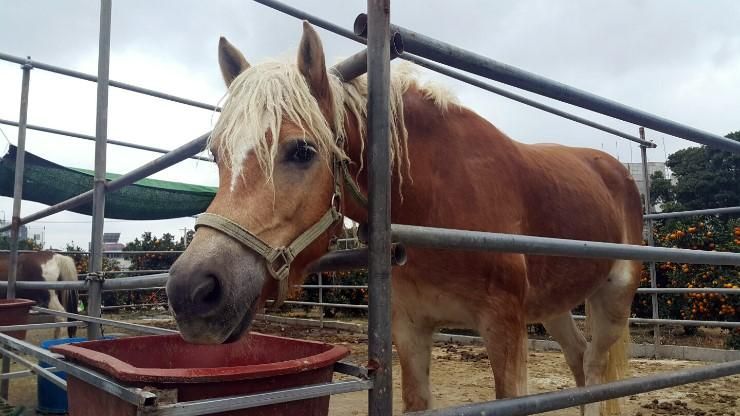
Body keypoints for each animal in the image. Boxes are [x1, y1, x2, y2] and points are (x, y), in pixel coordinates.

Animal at [166, 23, 640, 416]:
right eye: (217, 156)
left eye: (302, 151)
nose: (191, 291)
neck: (438, 199)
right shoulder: (410, 329)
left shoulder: (504, 327)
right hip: (553, 307)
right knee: (579, 362)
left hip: (612, 299)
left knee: (595, 371)